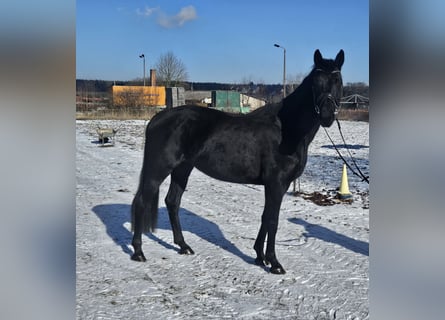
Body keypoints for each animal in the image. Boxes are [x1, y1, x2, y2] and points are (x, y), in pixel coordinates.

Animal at [129, 48, 344, 274]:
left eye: (337, 80)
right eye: (316, 82)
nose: (327, 116)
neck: (286, 129)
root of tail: (156, 120)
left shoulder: (275, 185)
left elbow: (265, 217)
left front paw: (259, 256)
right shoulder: (276, 184)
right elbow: (273, 220)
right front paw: (274, 263)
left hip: (182, 169)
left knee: (172, 202)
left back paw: (183, 246)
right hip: (159, 168)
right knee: (142, 201)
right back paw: (138, 252)